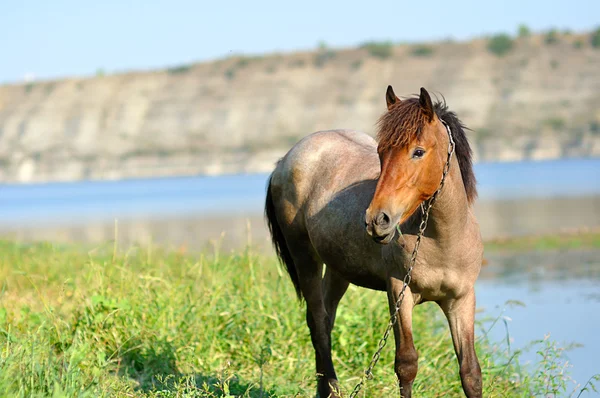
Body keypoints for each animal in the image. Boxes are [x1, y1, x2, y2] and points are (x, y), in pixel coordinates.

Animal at [264, 85, 486, 396]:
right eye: (381, 152)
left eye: (418, 151)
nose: (376, 220)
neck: (443, 241)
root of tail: (284, 161)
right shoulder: (399, 293)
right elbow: (406, 365)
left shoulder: (461, 300)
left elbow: (470, 372)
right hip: (304, 257)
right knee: (317, 321)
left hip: (338, 270)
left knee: (326, 318)